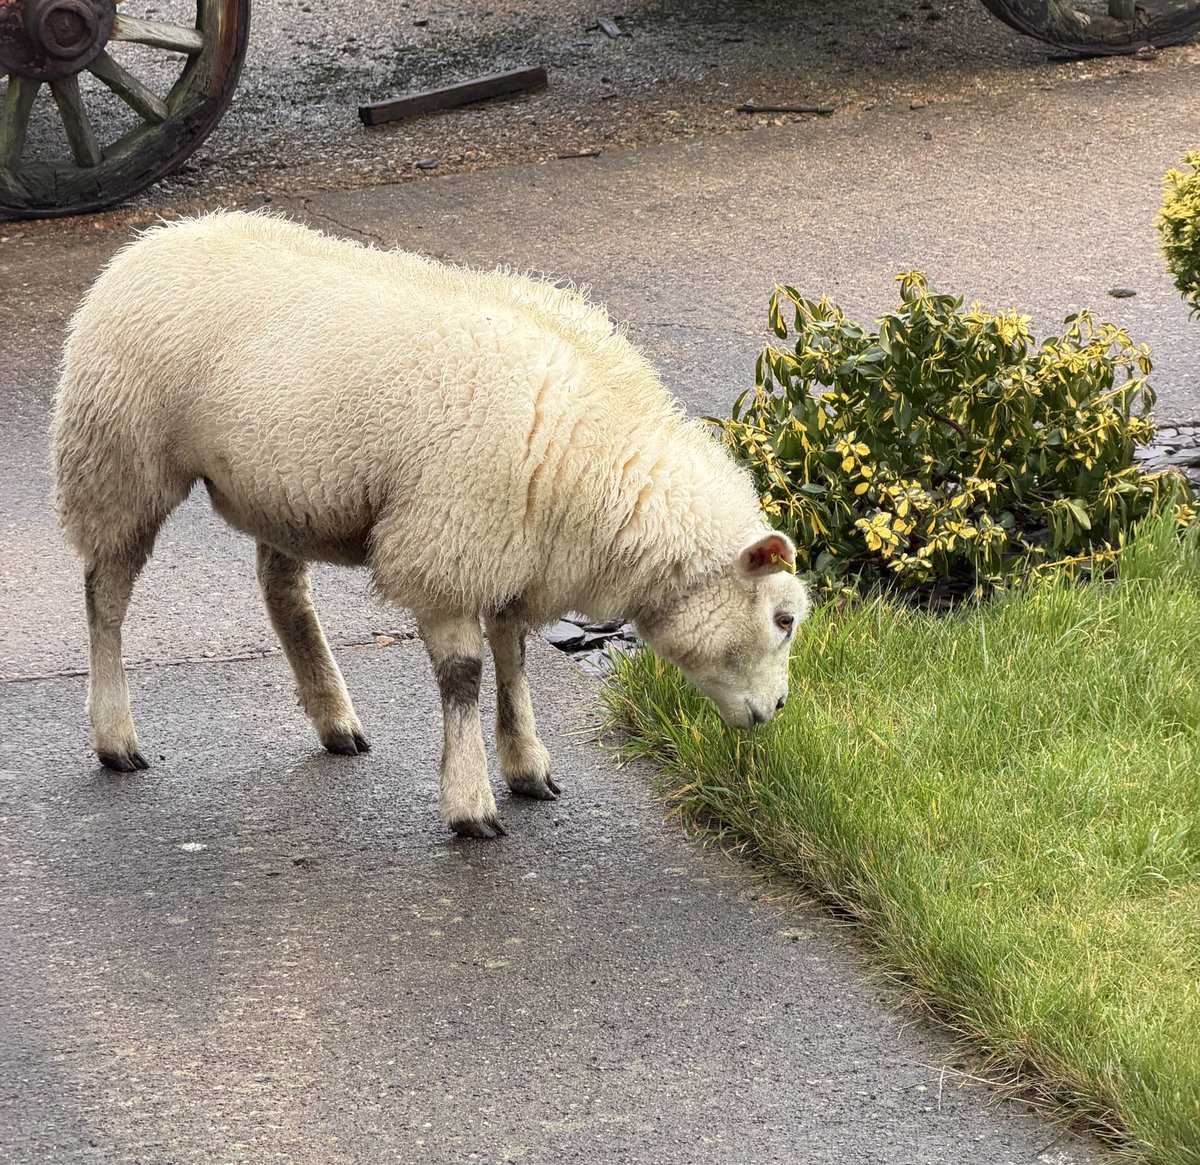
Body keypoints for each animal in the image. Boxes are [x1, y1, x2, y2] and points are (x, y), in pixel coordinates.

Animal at [52, 211, 809, 838]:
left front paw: (526, 764)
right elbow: (464, 676)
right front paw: (471, 802)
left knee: (280, 587)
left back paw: (333, 716)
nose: (777, 712)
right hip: (119, 459)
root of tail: (153, 238)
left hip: (287, 489)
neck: (604, 468)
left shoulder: (511, 551)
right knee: (104, 596)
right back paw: (115, 736)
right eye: (783, 619)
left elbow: (512, 657)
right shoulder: (449, 546)